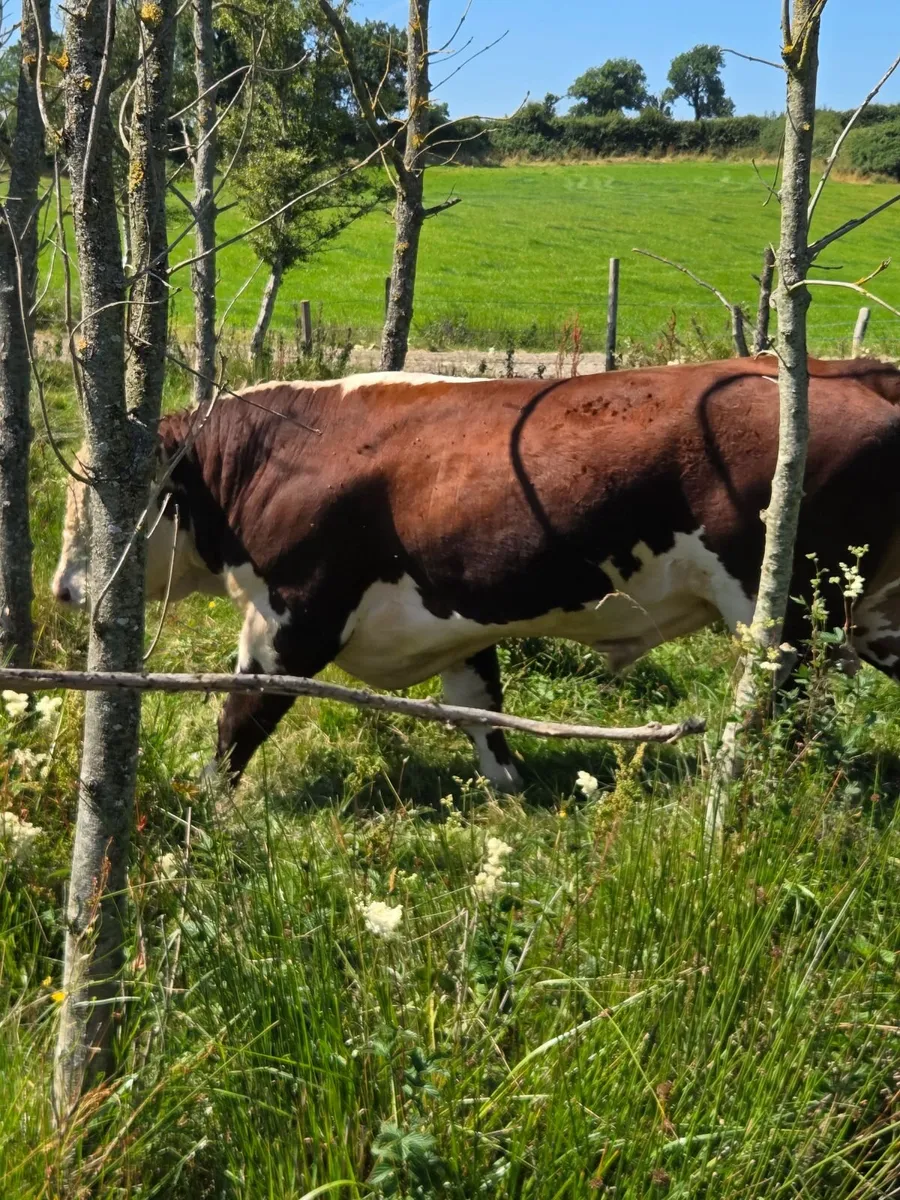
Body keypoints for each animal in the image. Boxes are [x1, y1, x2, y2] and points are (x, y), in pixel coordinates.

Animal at [52, 357, 900, 791]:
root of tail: (851, 367)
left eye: (104, 500)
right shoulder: (457, 618)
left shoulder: (295, 618)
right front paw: (511, 795)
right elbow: (481, 710)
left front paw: (205, 805)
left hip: (786, 610)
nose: (62, 590)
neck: (272, 456)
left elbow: (239, 719)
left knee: (782, 712)